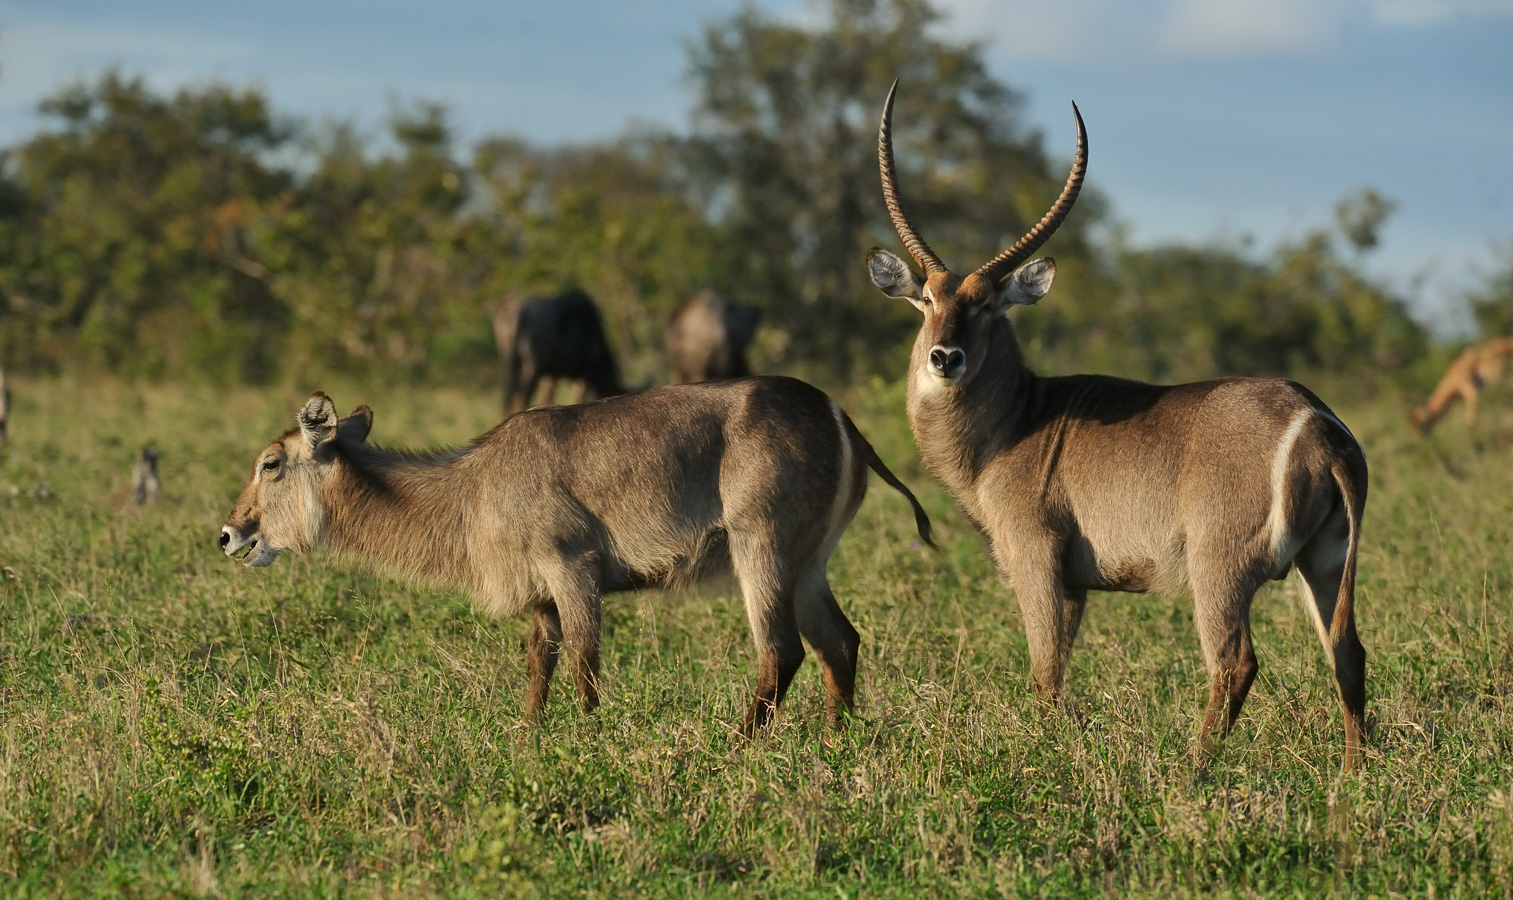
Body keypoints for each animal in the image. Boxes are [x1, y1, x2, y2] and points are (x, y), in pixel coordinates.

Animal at [220, 379, 932, 732]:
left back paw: (739, 744)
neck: (471, 491)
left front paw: (589, 741)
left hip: (763, 546)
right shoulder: (541, 592)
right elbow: (541, 662)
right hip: (809, 561)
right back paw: (836, 742)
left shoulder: (573, 565)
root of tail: (837, 413)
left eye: (269, 462)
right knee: (839, 642)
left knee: (780, 650)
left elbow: (586, 661)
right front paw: (531, 735)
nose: (229, 534)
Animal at [496, 288, 626, 414]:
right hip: (532, 368)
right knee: (520, 398)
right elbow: (577, 398)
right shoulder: (584, 374)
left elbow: (547, 397)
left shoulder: (551, 376)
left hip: (510, 365)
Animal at [865, 84, 1373, 771]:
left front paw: (1055, 755)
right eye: (927, 301)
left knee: (1234, 663)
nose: (946, 358)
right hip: (1327, 558)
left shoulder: (1035, 554)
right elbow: (1057, 669)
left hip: (1221, 566)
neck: (1015, 420)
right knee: (1347, 651)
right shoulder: (1075, 584)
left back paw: (1192, 770)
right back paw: (1353, 775)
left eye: (986, 304)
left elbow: (1043, 672)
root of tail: (1317, 423)